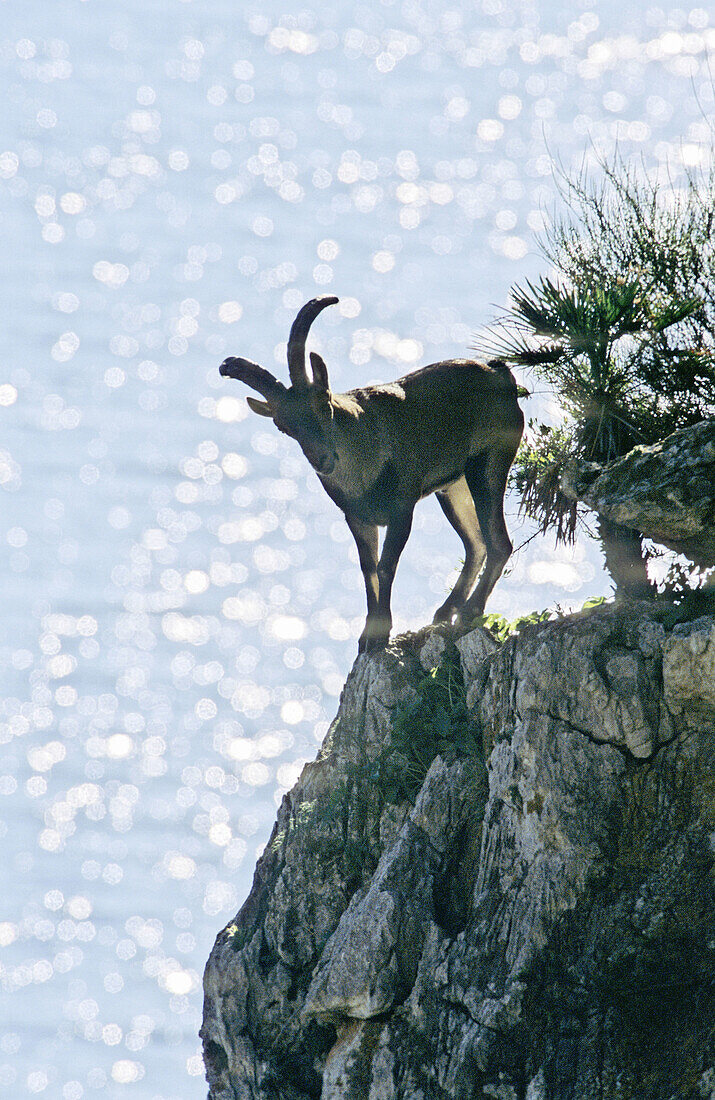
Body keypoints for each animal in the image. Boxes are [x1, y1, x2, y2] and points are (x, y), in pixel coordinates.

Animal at [218, 294, 523, 651]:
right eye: (284, 426)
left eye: (323, 403)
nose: (322, 460)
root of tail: (500, 376)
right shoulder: (358, 518)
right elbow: (368, 570)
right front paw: (367, 637)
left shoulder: (402, 509)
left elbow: (386, 566)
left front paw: (380, 636)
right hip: (452, 488)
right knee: (476, 544)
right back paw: (444, 612)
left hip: (487, 464)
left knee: (498, 542)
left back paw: (469, 612)